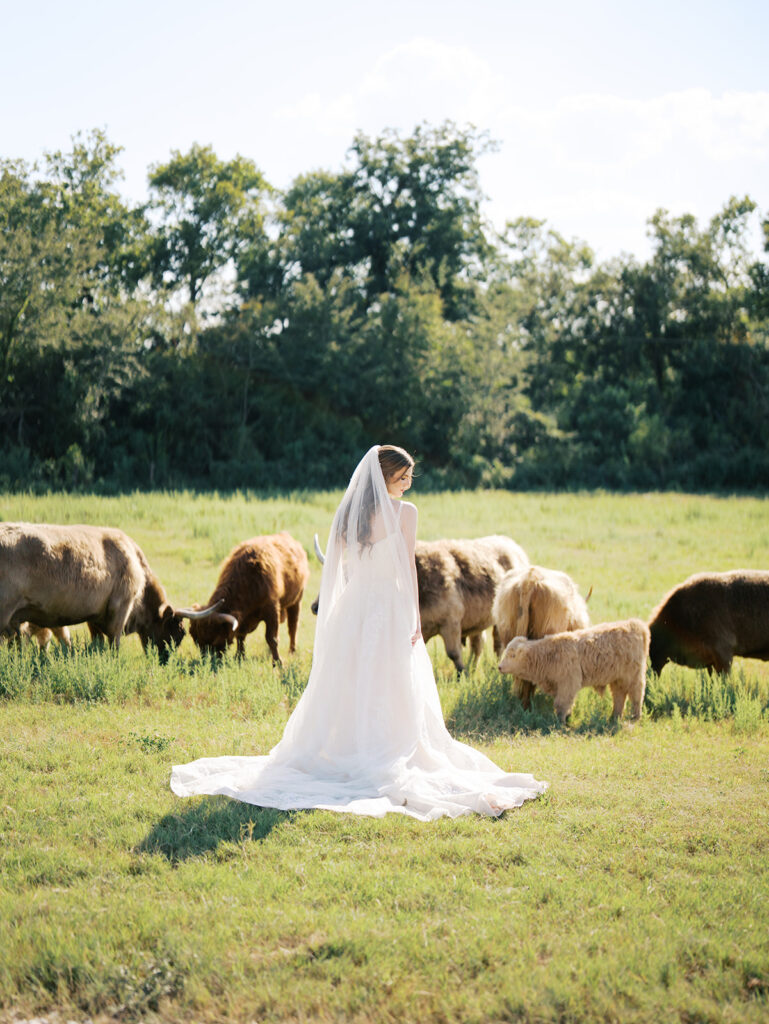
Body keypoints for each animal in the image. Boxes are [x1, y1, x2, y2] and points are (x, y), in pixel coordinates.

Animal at [0, 522, 220, 660]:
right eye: (179, 633)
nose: (166, 661)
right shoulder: (121, 606)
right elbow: (114, 642)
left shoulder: (94, 615)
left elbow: (96, 642)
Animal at [188, 532, 310, 665]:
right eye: (196, 639)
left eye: (215, 640)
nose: (208, 661)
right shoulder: (244, 619)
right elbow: (240, 636)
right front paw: (239, 657)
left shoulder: (272, 609)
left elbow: (271, 638)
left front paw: (278, 663)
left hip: (296, 600)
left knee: (293, 626)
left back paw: (292, 651)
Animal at [313, 533, 529, 672]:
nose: (315, 606)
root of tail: (514, 547)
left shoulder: (451, 623)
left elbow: (453, 653)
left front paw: (462, 675)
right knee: (478, 643)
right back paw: (474, 666)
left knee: (497, 643)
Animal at [499, 619, 650, 723]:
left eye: (513, 655)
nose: (500, 666)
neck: (548, 655)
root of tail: (635, 624)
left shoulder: (568, 684)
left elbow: (562, 704)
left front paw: (560, 722)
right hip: (618, 680)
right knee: (619, 697)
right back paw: (614, 718)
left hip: (634, 677)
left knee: (636, 696)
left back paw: (635, 718)